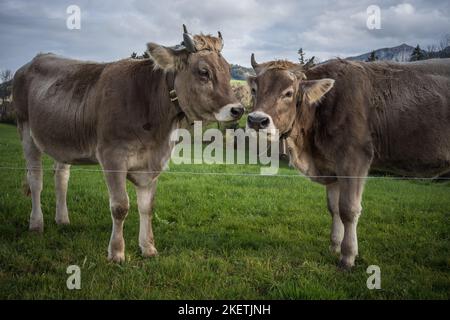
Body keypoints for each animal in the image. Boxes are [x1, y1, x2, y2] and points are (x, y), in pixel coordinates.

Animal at [14, 25, 244, 262]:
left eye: (228, 70)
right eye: (204, 72)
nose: (238, 109)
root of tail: (34, 60)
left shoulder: (152, 161)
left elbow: (147, 207)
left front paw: (148, 247)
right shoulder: (112, 155)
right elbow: (120, 206)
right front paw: (116, 252)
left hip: (64, 140)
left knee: (61, 177)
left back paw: (62, 220)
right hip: (25, 129)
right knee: (36, 180)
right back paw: (36, 223)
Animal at [246, 56, 450, 268]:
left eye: (288, 93)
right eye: (254, 89)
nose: (257, 121)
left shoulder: (354, 159)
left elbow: (348, 209)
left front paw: (348, 256)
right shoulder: (331, 165)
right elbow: (334, 208)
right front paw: (335, 246)